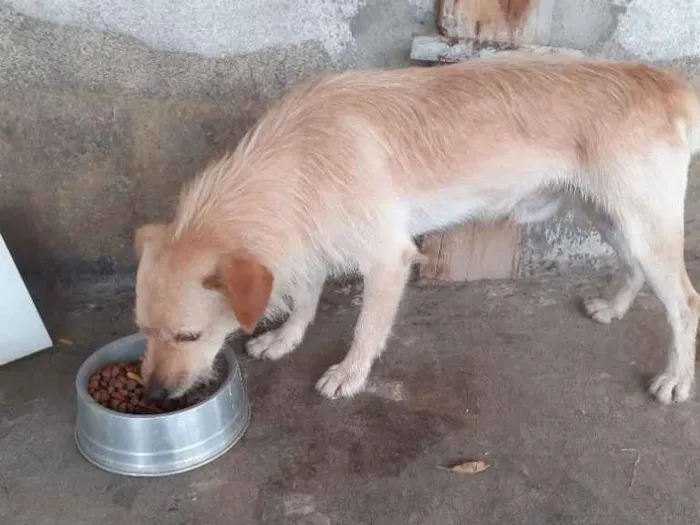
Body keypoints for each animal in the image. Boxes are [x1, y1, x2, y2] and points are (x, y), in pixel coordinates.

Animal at [133, 55, 700, 404]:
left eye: (189, 335)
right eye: (143, 331)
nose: (153, 393)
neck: (297, 155)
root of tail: (669, 84)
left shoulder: (388, 258)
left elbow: (366, 328)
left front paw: (350, 374)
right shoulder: (308, 235)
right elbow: (306, 296)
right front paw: (285, 339)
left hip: (642, 223)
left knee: (684, 302)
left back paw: (675, 379)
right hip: (612, 218)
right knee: (634, 269)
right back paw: (614, 307)